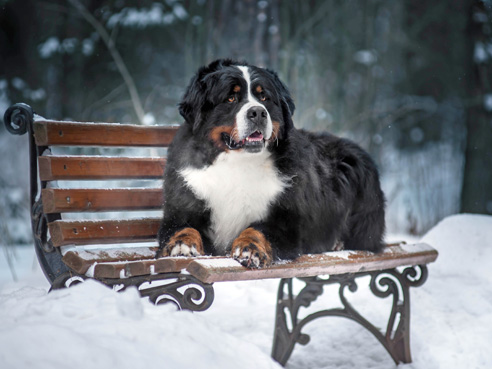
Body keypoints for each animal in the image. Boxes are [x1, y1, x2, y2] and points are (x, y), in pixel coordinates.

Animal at [157, 59, 384, 268]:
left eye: (264, 97)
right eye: (230, 98)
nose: (258, 112)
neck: (238, 163)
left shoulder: (284, 220)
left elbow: (257, 230)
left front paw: (249, 249)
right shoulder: (184, 204)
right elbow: (184, 227)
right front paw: (181, 245)